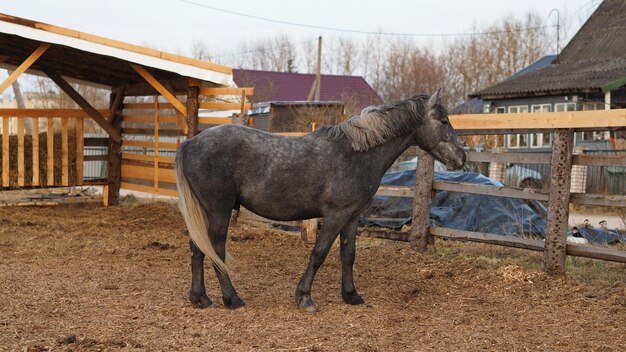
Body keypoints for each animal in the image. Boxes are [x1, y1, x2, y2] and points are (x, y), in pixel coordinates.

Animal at [174, 89, 464, 312]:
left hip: (206, 212)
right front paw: (304, 298)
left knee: (197, 248)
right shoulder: (336, 215)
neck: (355, 154)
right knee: (216, 250)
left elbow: (348, 254)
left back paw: (201, 299)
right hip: (219, 211)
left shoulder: (352, 216)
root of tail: (190, 144)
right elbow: (319, 253)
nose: (461, 157)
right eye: (444, 121)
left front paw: (351, 295)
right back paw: (232, 299)